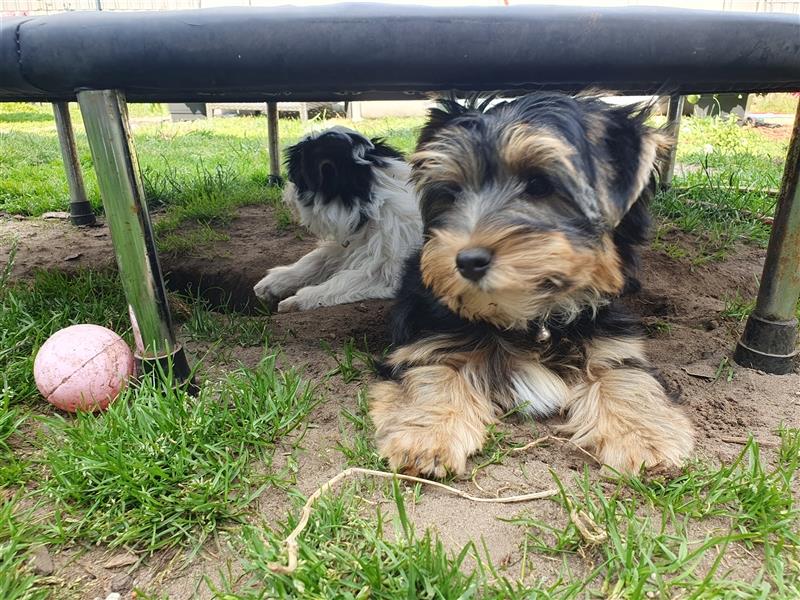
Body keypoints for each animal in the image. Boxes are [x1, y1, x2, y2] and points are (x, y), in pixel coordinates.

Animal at [253, 127, 422, 314]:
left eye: (295, 177)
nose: (285, 196)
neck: (376, 207)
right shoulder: (346, 246)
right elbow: (316, 260)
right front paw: (274, 282)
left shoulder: (387, 269)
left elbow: (344, 280)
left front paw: (298, 299)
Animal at [368, 92, 692, 478]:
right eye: (452, 194)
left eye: (539, 185)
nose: (467, 260)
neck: (532, 316)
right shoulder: (427, 339)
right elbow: (433, 374)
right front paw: (427, 437)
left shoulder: (611, 344)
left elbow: (626, 378)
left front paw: (643, 438)